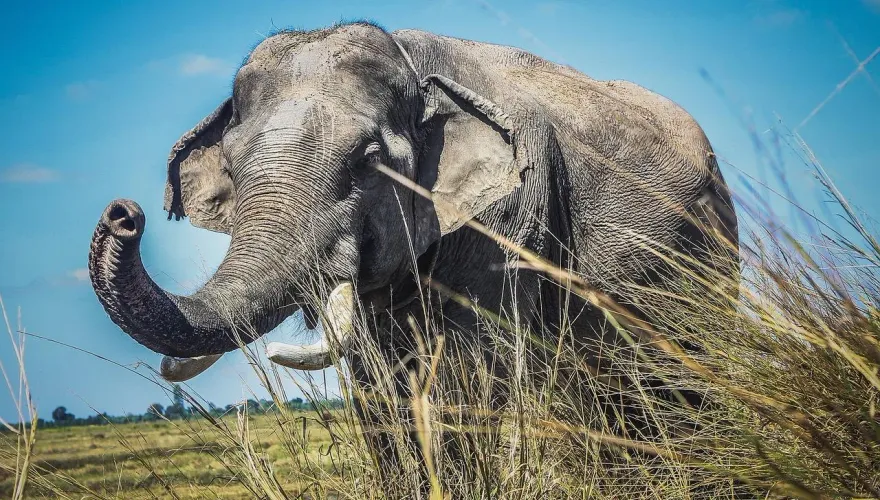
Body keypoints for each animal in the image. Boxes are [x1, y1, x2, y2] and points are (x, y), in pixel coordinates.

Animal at [88, 22, 738, 495]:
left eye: (368, 162)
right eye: (234, 164)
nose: (124, 213)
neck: (414, 65)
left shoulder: (507, 216)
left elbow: (465, 372)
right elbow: (375, 381)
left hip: (709, 262)